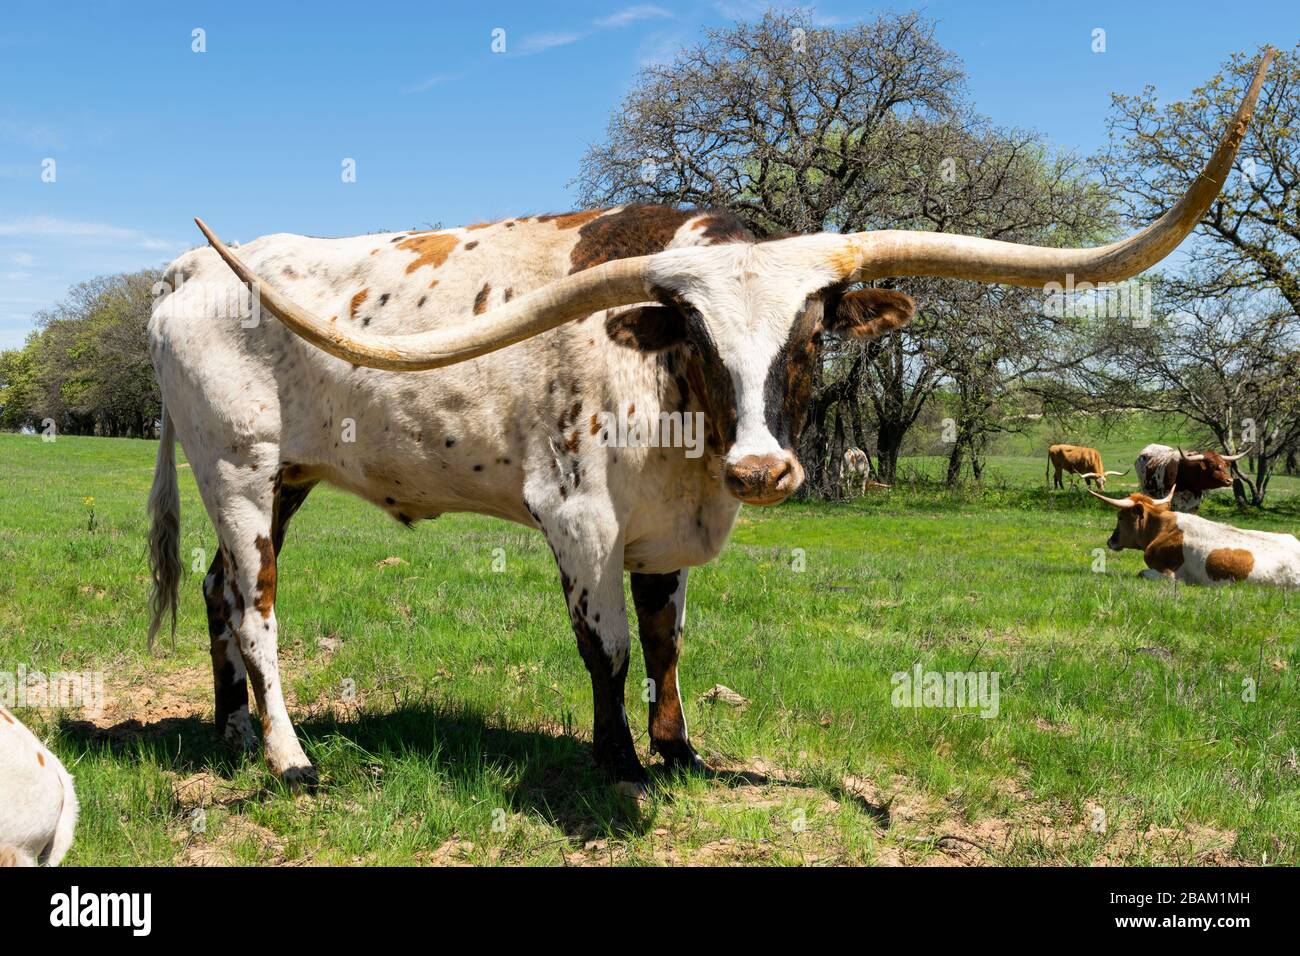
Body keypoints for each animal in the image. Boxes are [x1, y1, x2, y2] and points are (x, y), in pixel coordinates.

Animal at [147, 55, 1274, 790]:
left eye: (812, 337)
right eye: (691, 331)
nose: (764, 472)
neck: (684, 432)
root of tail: (192, 268)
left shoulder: (666, 529)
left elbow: (667, 639)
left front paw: (680, 748)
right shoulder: (578, 518)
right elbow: (605, 645)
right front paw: (615, 762)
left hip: (283, 477)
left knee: (216, 590)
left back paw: (231, 733)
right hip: (239, 470)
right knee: (256, 604)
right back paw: (289, 757)